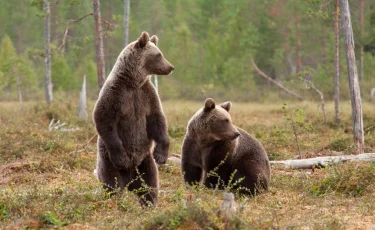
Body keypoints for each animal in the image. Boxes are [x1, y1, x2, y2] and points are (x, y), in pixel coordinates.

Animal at [94, 31, 176, 206]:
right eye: (159, 55)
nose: (171, 67)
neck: (133, 82)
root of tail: (130, 180)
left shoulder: (146, 95)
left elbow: (157, 119)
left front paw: (161, 155)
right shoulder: (116, 93)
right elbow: (104, 118)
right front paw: (122, 158)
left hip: (145, 163)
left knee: (150, 185)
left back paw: (150, 204)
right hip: (107, 162)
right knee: (112, 184)